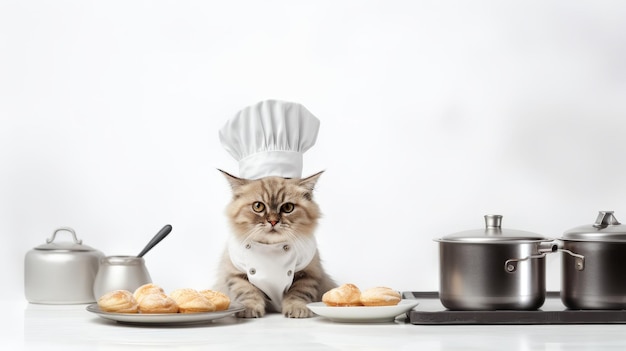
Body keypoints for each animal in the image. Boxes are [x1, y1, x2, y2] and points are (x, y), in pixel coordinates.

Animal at [212, 170, 334, 320]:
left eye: (288, 207)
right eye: (258, 206)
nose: (273, 221)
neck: (271, 249)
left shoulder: (309, 273)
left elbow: (298, 294)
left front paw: (297, 309)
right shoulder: (236, 273)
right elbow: (248, 292)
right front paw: (249, 309)